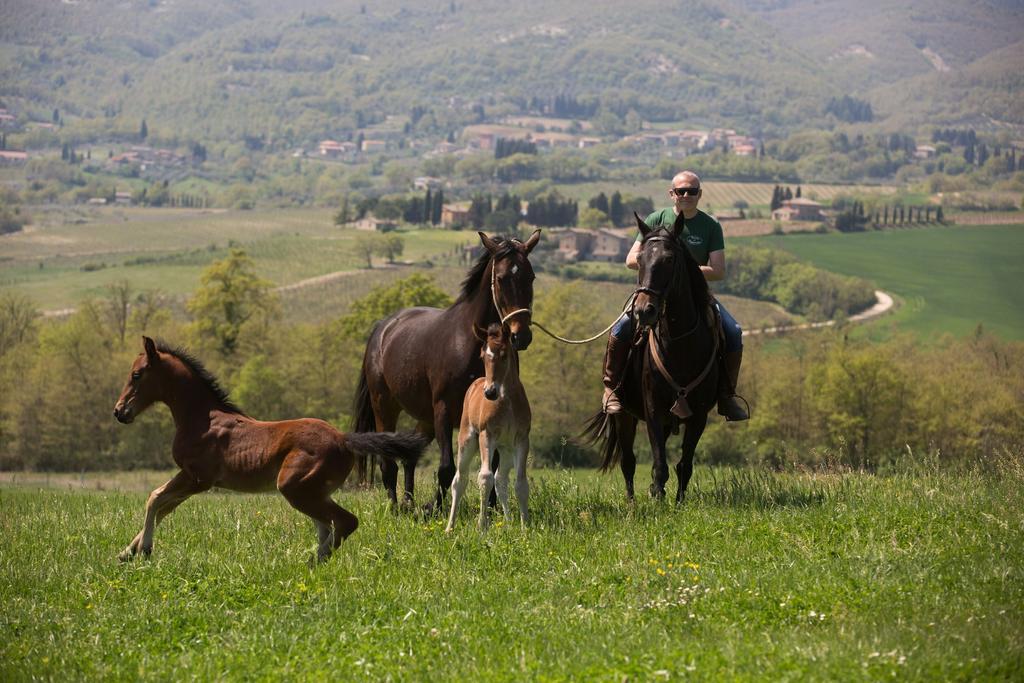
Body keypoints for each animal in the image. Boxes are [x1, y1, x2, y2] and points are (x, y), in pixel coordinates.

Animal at [114, 337, 425, 565]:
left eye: (136, 374)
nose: (119, 412)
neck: (202, 418)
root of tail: (345, 439)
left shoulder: (197, 479)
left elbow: (155, 499)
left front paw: (144, 550)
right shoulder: (190, 478)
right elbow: (163, 505)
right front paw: (127, 551)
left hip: (294, 486)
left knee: (345, 522)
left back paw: (311, 563)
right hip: (313, 490)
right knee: (328, 525)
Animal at [352, 229, 540, 511]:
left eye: (530, 276)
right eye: (501, 278)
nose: (522, 335)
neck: (470, 343)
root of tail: (383, 328)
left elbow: (493, 464)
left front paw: (491, 509)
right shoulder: (443, 411)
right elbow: (446, 468)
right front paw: (439, 509)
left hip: (425, 418)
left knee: (409, 454)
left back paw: (409, 502)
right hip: (385, 407)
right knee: (388, 462)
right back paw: (395, 507)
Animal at [444, 323, 532, 532]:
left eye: (504, 355)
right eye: (483, 356)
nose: (490, 392)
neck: (507, 401)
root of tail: (476, 383)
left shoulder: (522, 439)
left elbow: (521, 483)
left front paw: (525, 527)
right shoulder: (487, 435)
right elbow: (484, 477)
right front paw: (481, 526)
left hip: (506, 449)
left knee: (501, 480)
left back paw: (508, 522)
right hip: (467, 440)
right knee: (459, 480)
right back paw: (449, 527)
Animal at [585, 214, 720, 501]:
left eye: (669, 259)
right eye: (640, 259)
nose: (643, 311)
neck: (681, 344)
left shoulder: (698, 415)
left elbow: (684, 465)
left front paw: (678, 503)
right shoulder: (654, 409)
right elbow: (659, 464)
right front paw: (657, 500)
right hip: (624, 414)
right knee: (628, 461)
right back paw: (631, 503)